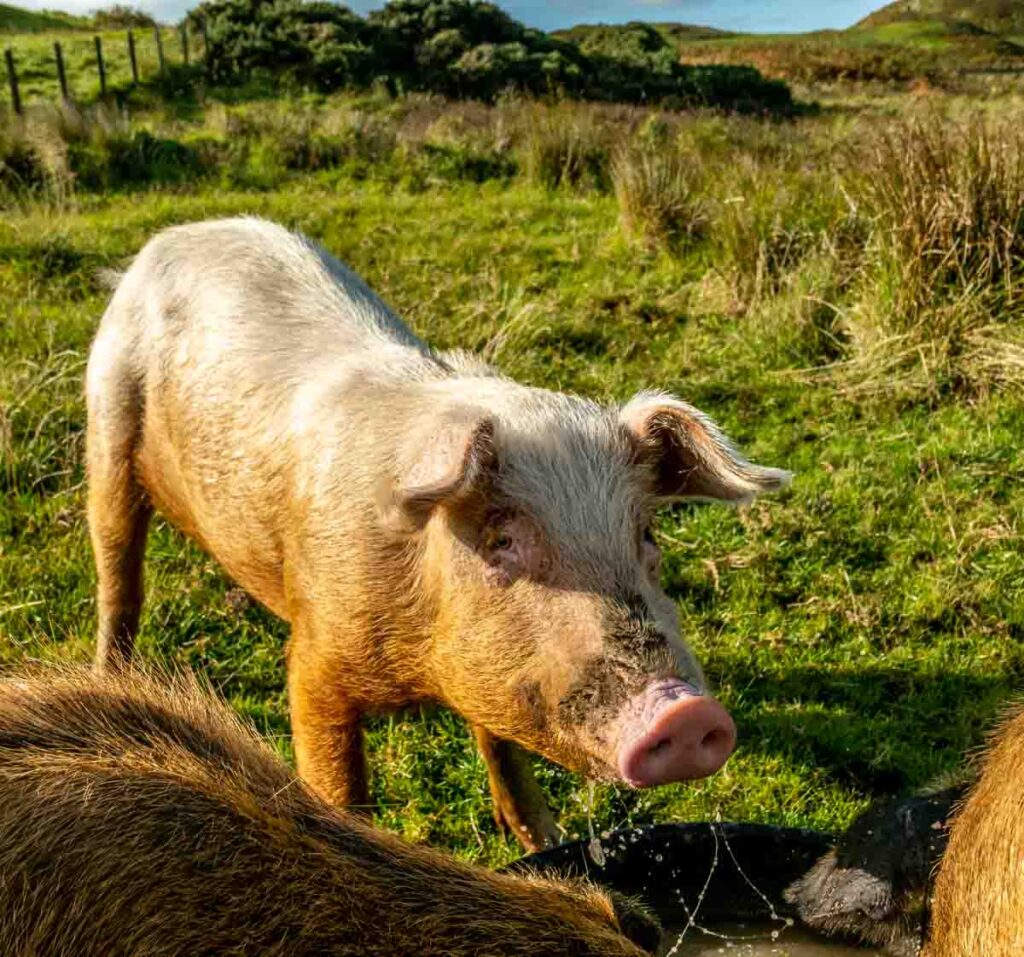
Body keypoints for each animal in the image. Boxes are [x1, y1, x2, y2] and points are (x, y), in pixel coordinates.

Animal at [88, 219, 790, 851]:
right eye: (501, 540)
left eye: (646, 535)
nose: (686, 711)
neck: (422, 667)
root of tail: (172, 238)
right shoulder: (314, 656)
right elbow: (339, 781)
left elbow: (499, 745)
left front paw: (540, 839)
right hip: (107, 425)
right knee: (119, 571)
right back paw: (111, 679)